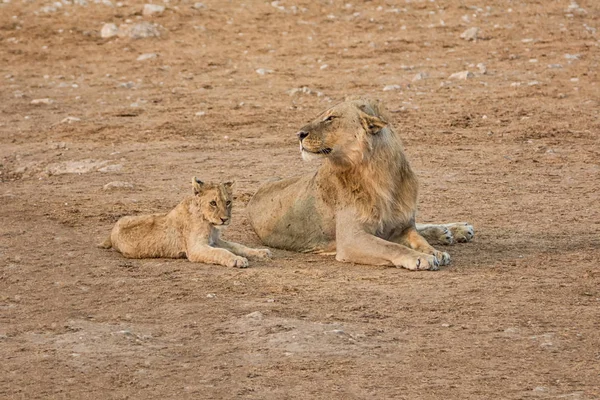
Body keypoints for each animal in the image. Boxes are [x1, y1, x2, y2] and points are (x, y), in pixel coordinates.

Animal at [101, 179, 272, 268]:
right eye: (213, 203)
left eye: (228, 202)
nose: (225, 219)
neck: (209, 223)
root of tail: (112, 230)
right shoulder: (196, 248)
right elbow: (221, 252)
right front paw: (237, 260)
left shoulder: (215, 240)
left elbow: (238, 246)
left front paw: (262, 252)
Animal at [247, 98, 474, 270]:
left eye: (331, 118)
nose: (299, 134)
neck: (380, 173)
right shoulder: (350, 239)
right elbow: (391, 247)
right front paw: (422, 258)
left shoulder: (403, 226)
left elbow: (418, 238)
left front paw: (435, 252)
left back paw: (455, 230)